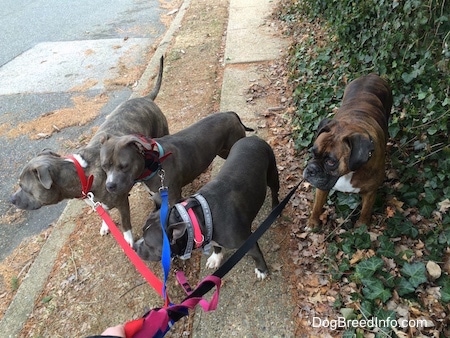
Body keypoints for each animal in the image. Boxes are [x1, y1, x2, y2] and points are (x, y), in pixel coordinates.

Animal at [10, 55, 169, 246]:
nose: (11, 200)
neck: (82, 174)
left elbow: (125, 224)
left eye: (23, 187)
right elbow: (105, 213)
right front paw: (105, 225)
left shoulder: (122, 202)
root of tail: (146, 98)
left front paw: (128, 241)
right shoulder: (97, 202)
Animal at [100, 111, 255, 206]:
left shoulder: (172, 199)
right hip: (223, 150)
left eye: (124, 166)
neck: (154, 163)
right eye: (104, 166)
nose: (110, 186)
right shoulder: (157, 197)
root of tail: (230, 113)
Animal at [134, 135, 280, 280]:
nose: (134, 247)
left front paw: (261, 270)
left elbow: (256, 254)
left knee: (274, 190)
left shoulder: (247, 242)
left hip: (272, 173)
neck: (195, 217)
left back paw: (275, 208)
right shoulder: (210, 234)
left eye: (148, 244)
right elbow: (216, 246)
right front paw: (216, 257)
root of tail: (253, 137)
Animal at [304, 73, 392, 227]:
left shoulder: (370, 192)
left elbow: (365, 211)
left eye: (331, 162)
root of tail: (371, 75)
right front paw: (313, 222)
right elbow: (317, 205)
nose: (311, 169)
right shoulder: (322, 187)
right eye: (313, 152)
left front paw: (362, 227)